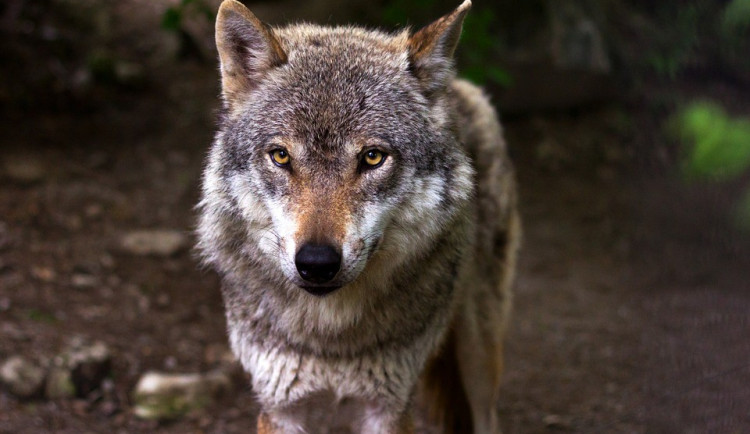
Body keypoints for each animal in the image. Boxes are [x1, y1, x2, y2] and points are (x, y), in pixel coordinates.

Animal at [196, 0, 520, 432]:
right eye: (280, 156)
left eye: (372, 157)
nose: (317, 263)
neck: (331, 338)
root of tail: (460, 88)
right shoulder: (281, 407)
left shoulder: (388, 407)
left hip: (479, 355)